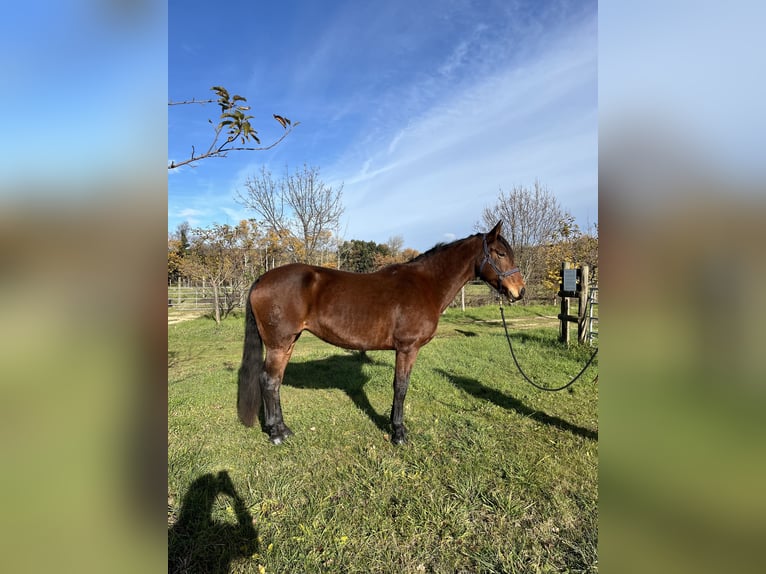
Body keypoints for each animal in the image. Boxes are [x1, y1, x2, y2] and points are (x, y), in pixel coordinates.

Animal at [237, 221, 525, 445]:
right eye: (500, 253)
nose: (519, 291)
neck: (426, 285)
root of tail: (263, 279)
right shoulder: (407, 348)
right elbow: (401, 386)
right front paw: (398, 432)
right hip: (278, 344)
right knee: (269, 381)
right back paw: (276, 435)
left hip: (288, 343)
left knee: (275, 382)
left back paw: (282, 429)